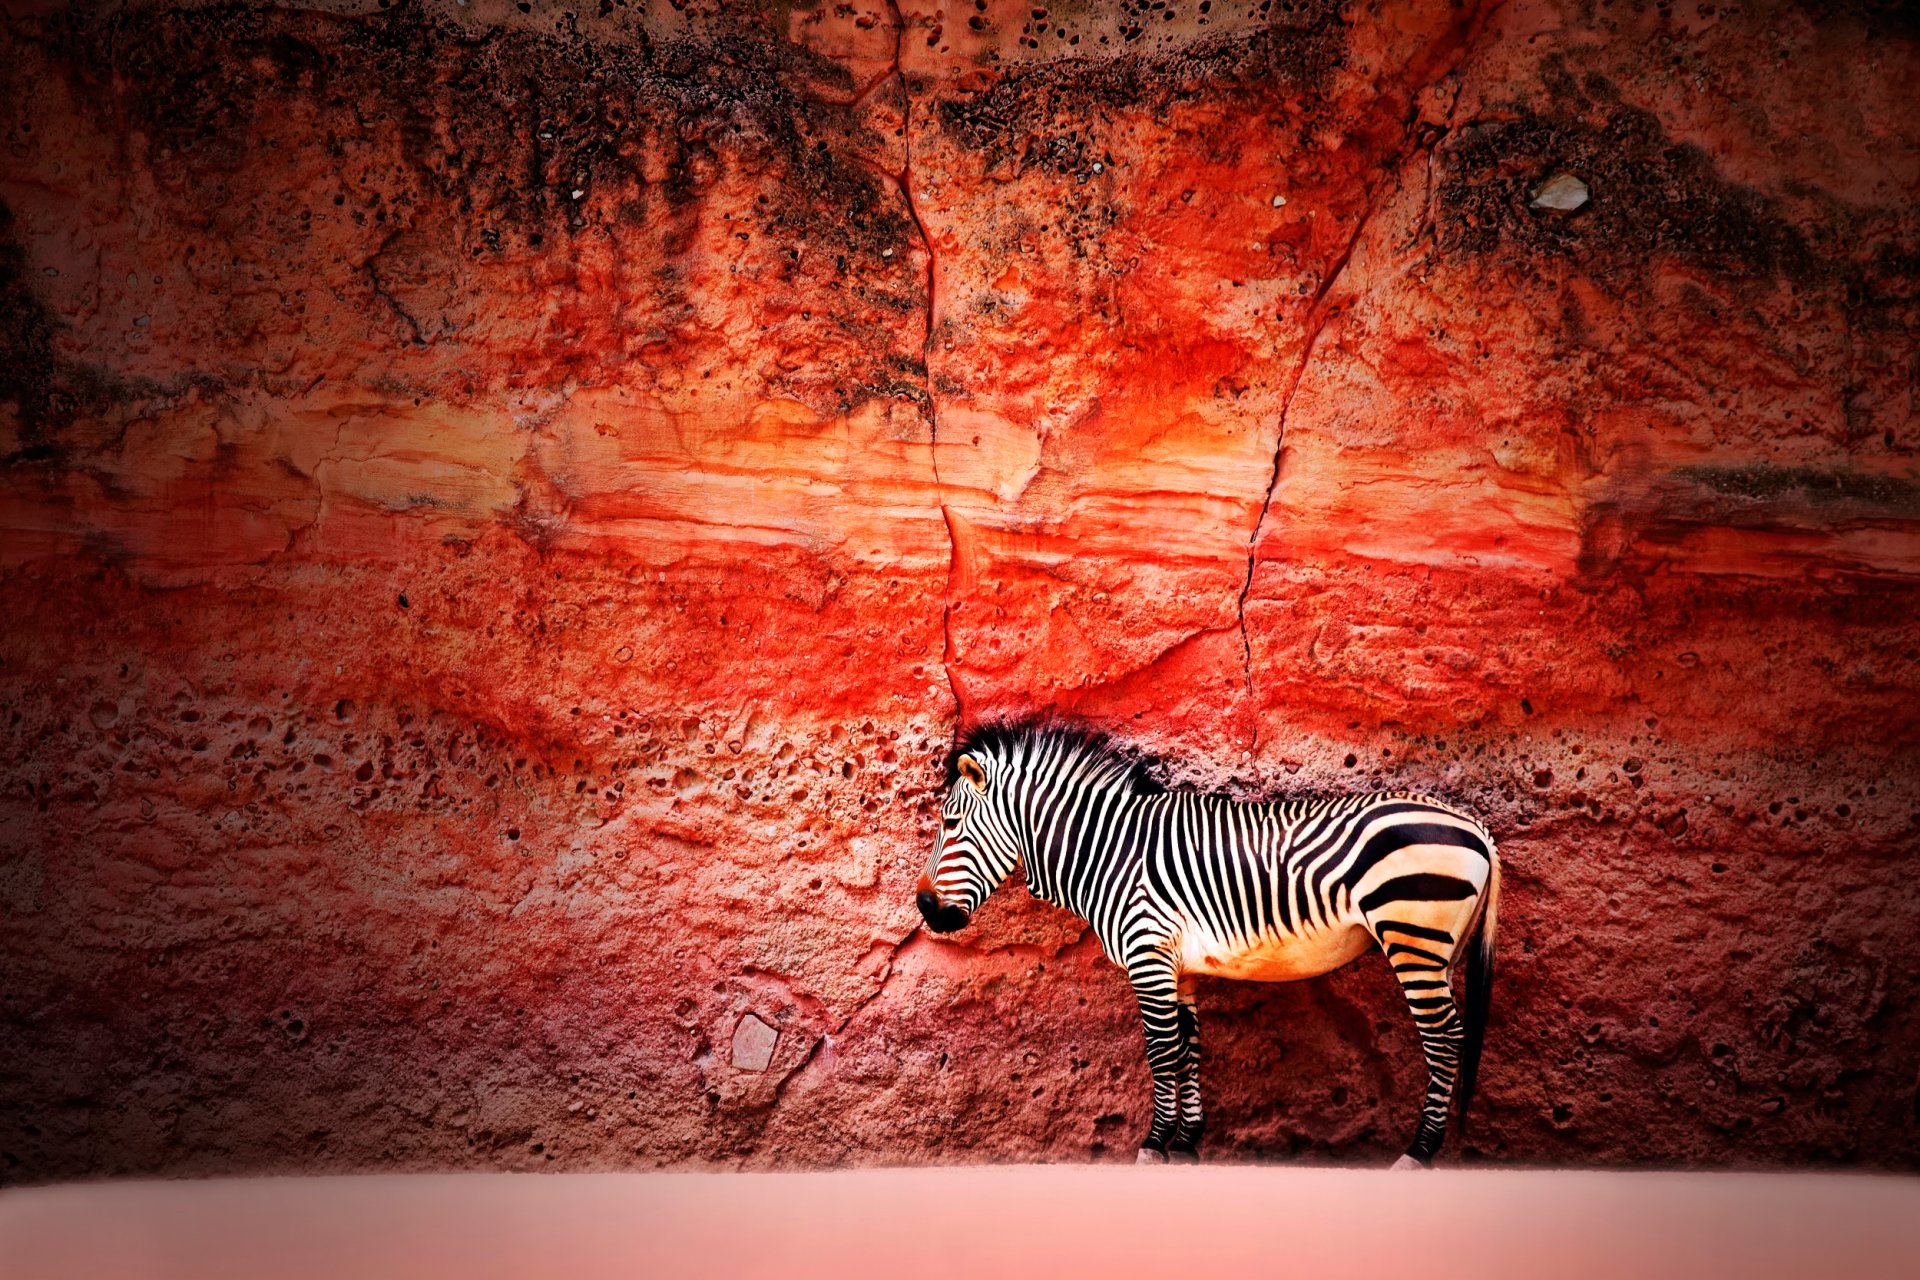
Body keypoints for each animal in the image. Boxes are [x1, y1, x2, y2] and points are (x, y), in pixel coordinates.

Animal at [915, 723, 1501, 1168]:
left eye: (949, 822)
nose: (922, 907)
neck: (1109, 849)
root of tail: (1472, 824)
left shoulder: (1147, 953)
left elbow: (1161, 1051)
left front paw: (1153, 1146)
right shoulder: (1180, 968)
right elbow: (1188, 1049)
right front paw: (1186, 1144)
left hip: (1413, 937)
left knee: (1445, 1037)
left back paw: (1419, 1153)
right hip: (1442, 948)